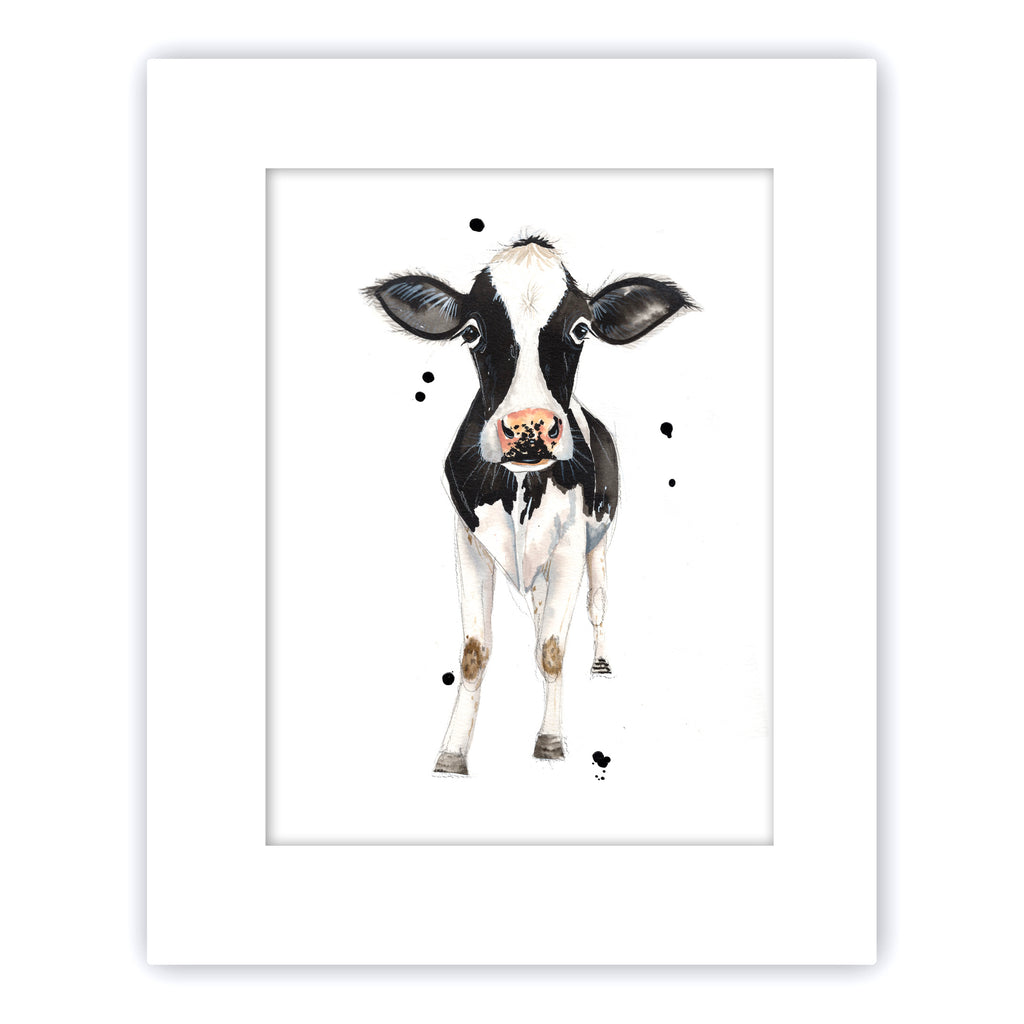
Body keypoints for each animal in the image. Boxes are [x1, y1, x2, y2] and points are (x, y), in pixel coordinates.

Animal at [366, 235, 698, 775]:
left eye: (581, 328)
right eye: (472, 331)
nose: (529, 427)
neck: (519, 488)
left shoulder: (568, 547)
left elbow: (553, 649)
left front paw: (550, 741)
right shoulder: (469, 542)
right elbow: (475, 653)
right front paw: (452, 752)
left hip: (599, 545)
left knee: (596, 605)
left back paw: (600, 662)